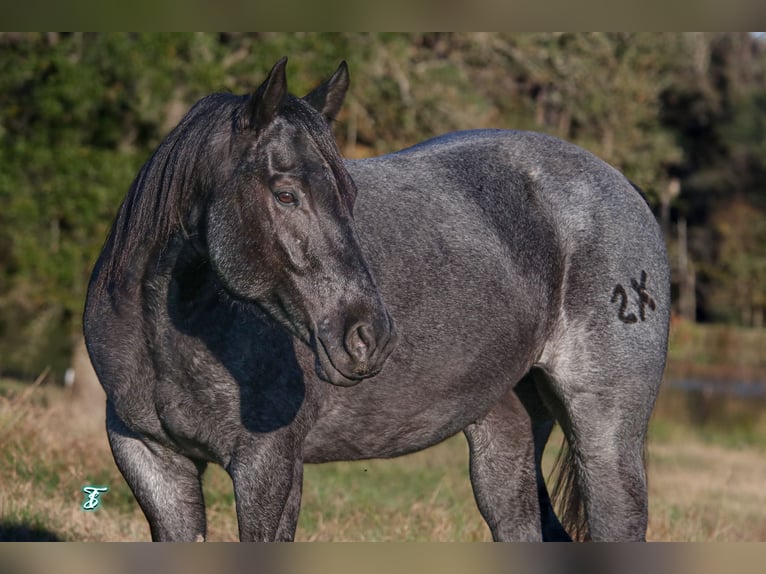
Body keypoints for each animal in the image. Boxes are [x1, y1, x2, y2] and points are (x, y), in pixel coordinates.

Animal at [84, 56, 668, 544]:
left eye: (349, 196)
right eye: (285, 194)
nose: (369, 336)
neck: (166, 335)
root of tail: (622, 189)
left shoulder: (268, 465)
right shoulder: (151, 460)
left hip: (604, 431)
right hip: (505, 430)